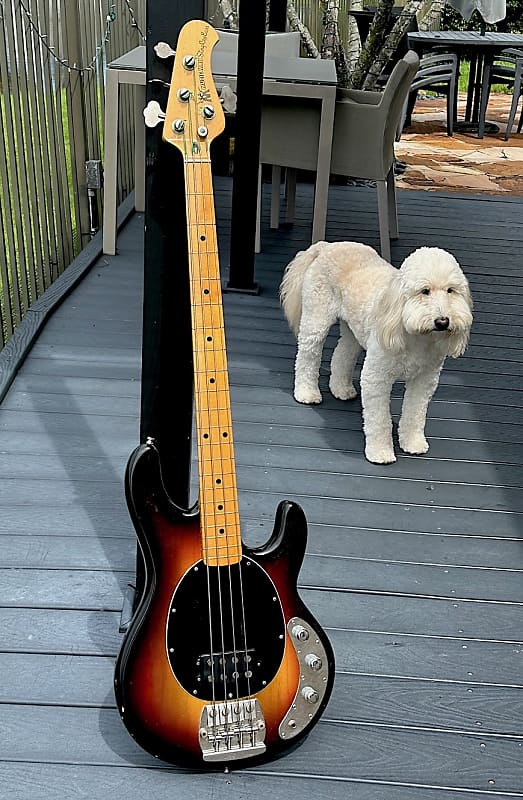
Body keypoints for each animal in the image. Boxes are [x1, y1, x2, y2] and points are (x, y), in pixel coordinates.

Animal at [282, 241, 474, 462]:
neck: (415, 335)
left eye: (451, 290)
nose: (443, 321)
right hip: (316, 319)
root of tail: (327, 246)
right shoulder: (376, 378)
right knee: (307, 357)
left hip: (353, 331)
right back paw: (306, 393)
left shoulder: (425, 380)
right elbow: (379, 420)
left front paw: (413, 443)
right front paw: (380, 453)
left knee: (342, 354)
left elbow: (415, 414)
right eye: (424, 291)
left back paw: (341, 389)